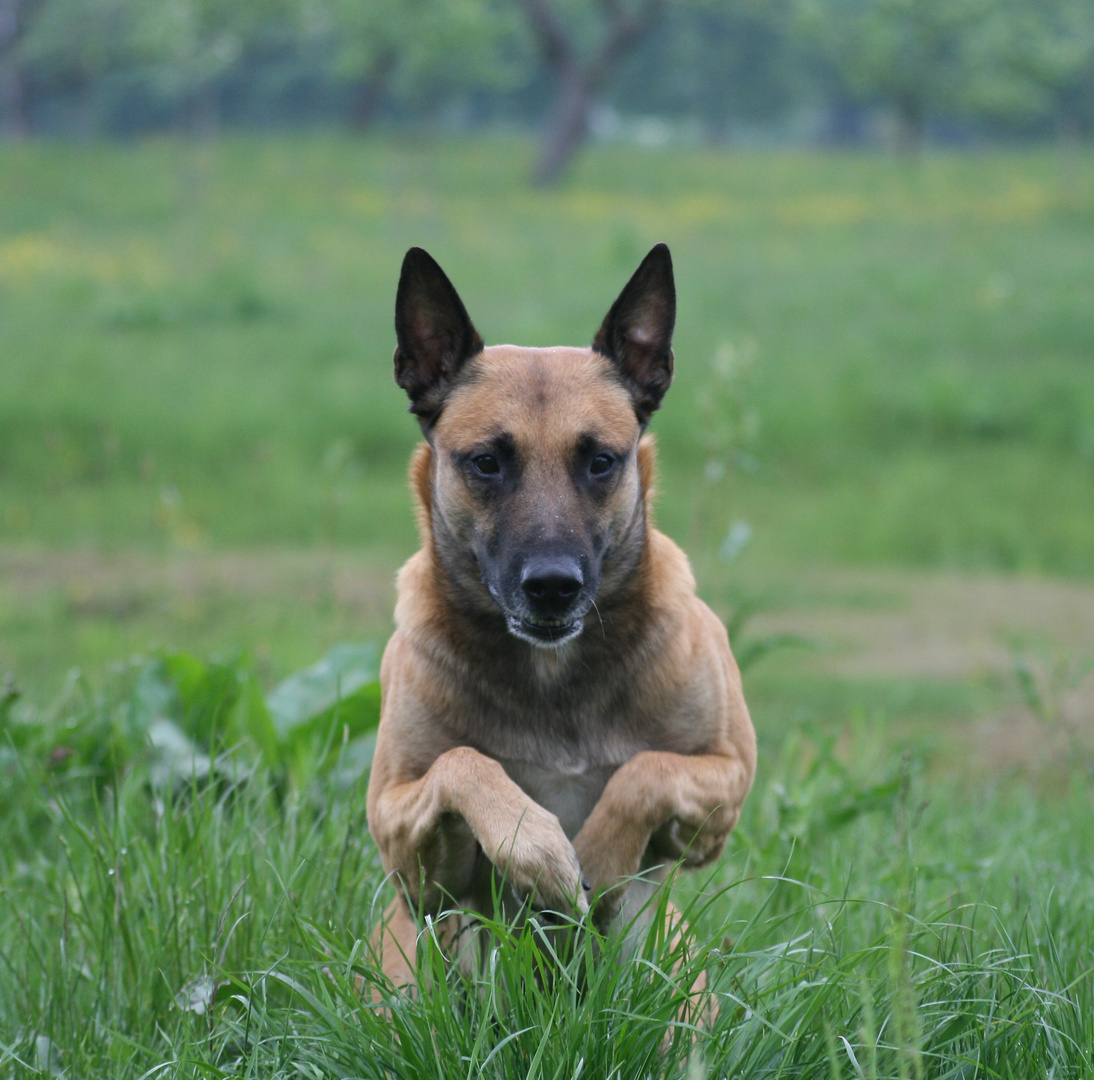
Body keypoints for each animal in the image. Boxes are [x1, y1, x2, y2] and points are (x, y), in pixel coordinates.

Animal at [363, 242, 757, 989]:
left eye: (600, 460)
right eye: (486, 462)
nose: (553, 588)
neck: (554, 675)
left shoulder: (724, 781)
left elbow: (644, 772)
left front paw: (596, 858)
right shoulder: (404, 842)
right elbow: (463, 762)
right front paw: (539, 849)